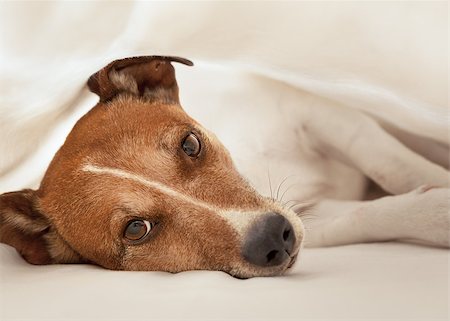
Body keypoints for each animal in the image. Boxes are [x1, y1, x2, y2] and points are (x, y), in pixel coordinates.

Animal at [0, 56, 448, 276]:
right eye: (136, 230)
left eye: (190, 144)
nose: (274, 237)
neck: (254, 165)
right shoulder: (312, 214)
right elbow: (366, 215)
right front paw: (435, 211)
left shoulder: (320, 113)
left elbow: (394, 165)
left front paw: (436, 184)